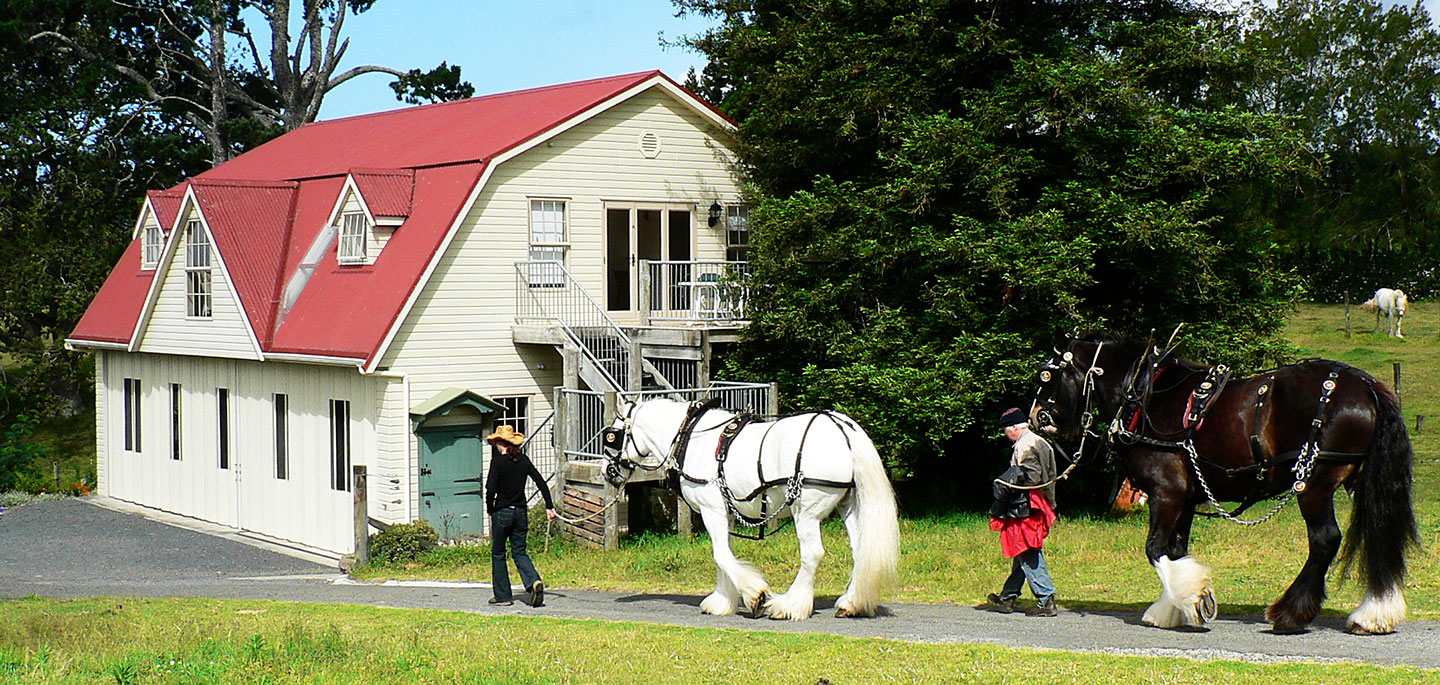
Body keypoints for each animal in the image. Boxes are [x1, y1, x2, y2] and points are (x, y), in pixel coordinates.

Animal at [599, 397, 898, 621]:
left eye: (612, 436)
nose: (606, 471)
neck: (689, 438)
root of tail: (841, 426)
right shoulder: (724, 514)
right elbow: (724, 555)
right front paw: (722, 601)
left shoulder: (711, 510)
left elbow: (720, 555)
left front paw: (755, 595)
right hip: (848, 505)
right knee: (859, 550)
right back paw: (851, 603)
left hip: (806, 511)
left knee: (812, 554)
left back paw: (790, 605)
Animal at [1036, 333, 1416, 633]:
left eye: (1047, 375)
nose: (1037, 417)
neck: (1144, 395)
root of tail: (1366, 386)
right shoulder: (1186, 499)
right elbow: (1176, 549)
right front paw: (1178, 607)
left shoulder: (1166, 492)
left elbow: (1155, 548)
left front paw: (1191, 598)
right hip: (1358, 481)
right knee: (1378, 531)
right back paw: (1374, 614)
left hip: (1315, 482)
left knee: (1325, 539)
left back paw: (1290, 614)